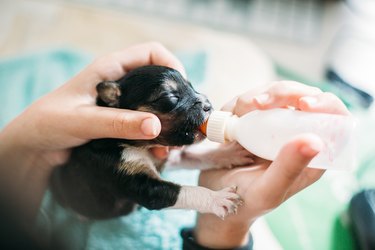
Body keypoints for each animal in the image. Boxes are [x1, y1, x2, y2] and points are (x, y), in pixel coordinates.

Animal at [50, 65, 250, 220]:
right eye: (170, 97)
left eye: (192, 87)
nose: (208, 105)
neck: (142, 146)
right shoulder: (139, 183)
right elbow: (183, 191)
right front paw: (218, 199)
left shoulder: (166, 157)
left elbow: (197, 156)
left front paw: (228, 153)